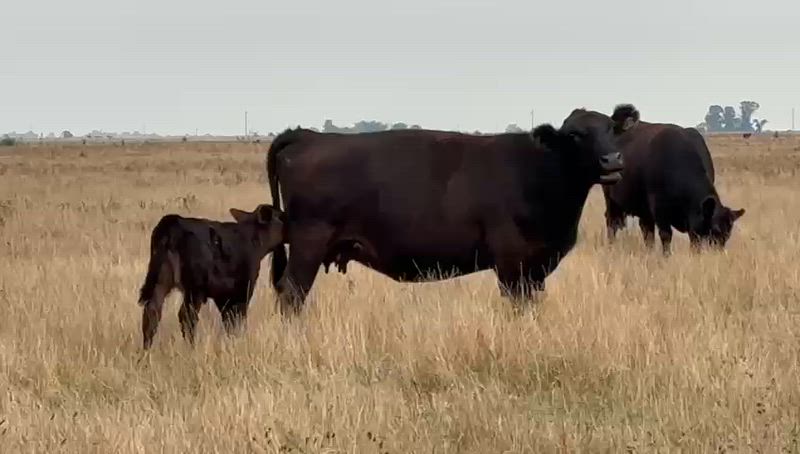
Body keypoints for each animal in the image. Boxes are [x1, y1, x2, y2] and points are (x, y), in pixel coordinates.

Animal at [137, 204, 285, 350]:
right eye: (280, 217)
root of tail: (173, 222)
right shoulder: (243, 290)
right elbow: (237, 319)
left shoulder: (222, 295)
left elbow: (228, 320)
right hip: (195, 288)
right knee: (187, 316)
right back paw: (191, 348)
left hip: (161, 279)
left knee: (152, 311)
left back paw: (146, 350)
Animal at [265, 107, 632, 315]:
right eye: (575, 135)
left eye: (611, 129)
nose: (612, 160)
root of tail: (308, 136)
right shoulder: (511, 263)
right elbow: (517, 306)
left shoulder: (536, 267)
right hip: (309, 243)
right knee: (292, 293)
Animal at [602, 104, 745, 255]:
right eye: (715, 230)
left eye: (728, 233)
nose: (718, 253)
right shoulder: (660, 210)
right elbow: (666, 236)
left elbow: (694, 240)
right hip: (610, 197)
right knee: (612, 222)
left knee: (646, 229)